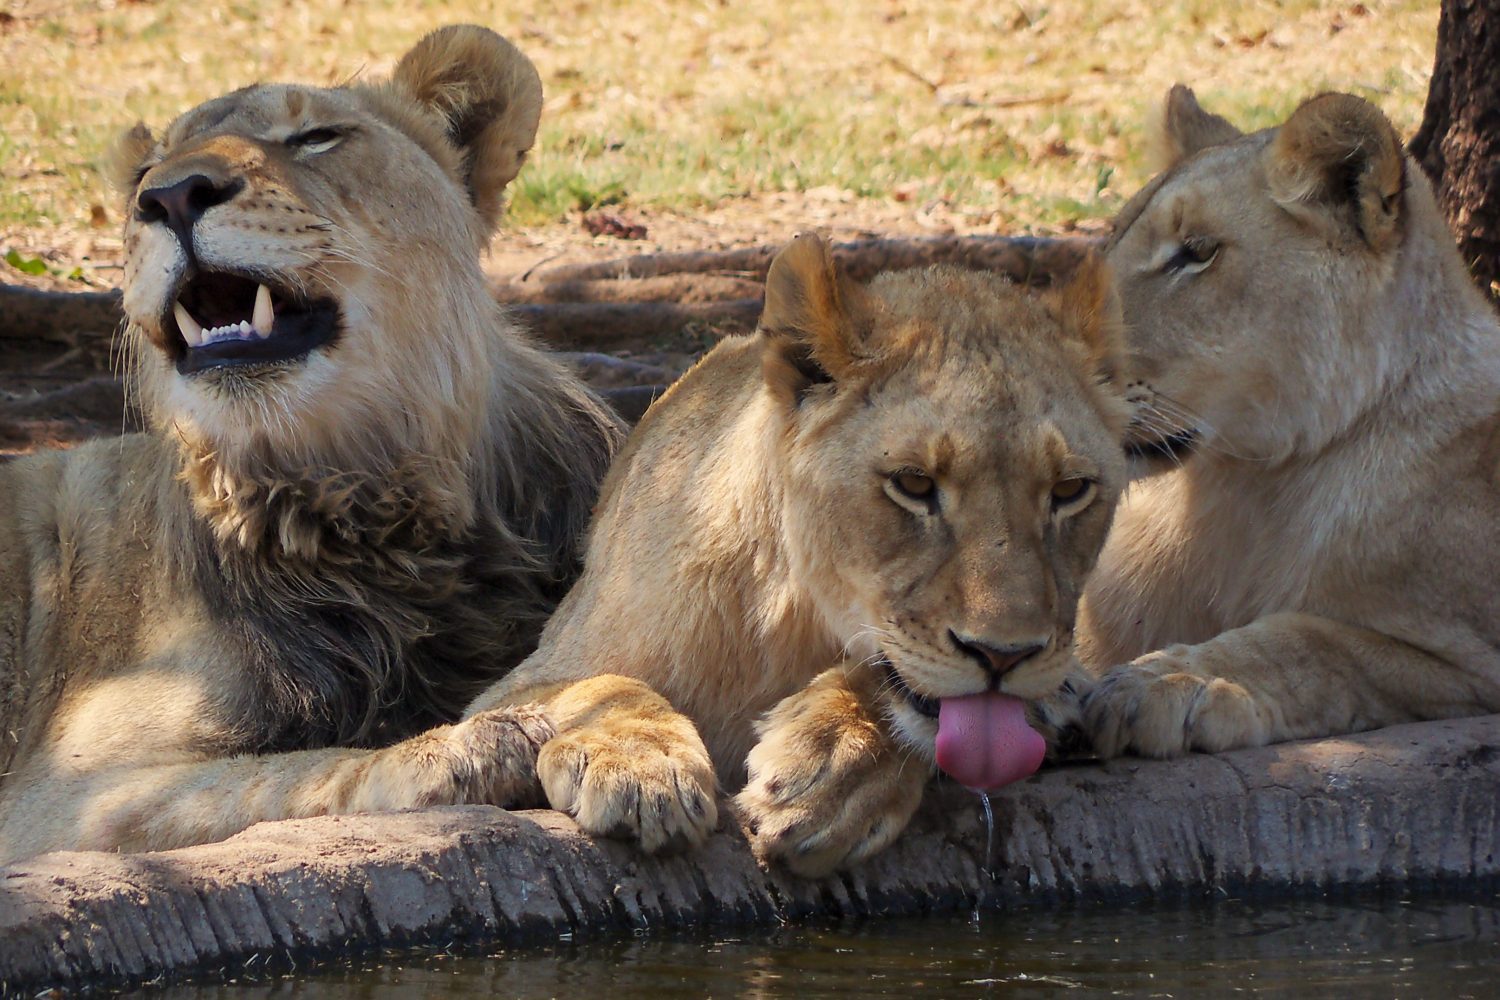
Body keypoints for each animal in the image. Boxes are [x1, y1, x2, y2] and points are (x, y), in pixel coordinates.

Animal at [0, 25, 621, 869]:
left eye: (315, 137)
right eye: (145, 174)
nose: (169, 197)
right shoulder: (59, 794)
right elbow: (280, 772)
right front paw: (465, 746)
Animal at [462, 235, 1128, 875]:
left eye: (1070, 490)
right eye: (914, 484)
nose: (1004, 655)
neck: (792, 622)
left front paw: (833, 772)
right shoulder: (526, 678)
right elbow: (600, 684)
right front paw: (639, 767)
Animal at [1080, 88, 1500, 758]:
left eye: (1197, 252)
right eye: (1113, 240)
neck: (1243, 484)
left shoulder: (1466, 656)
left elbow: (1308, 643)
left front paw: (1169, 683)